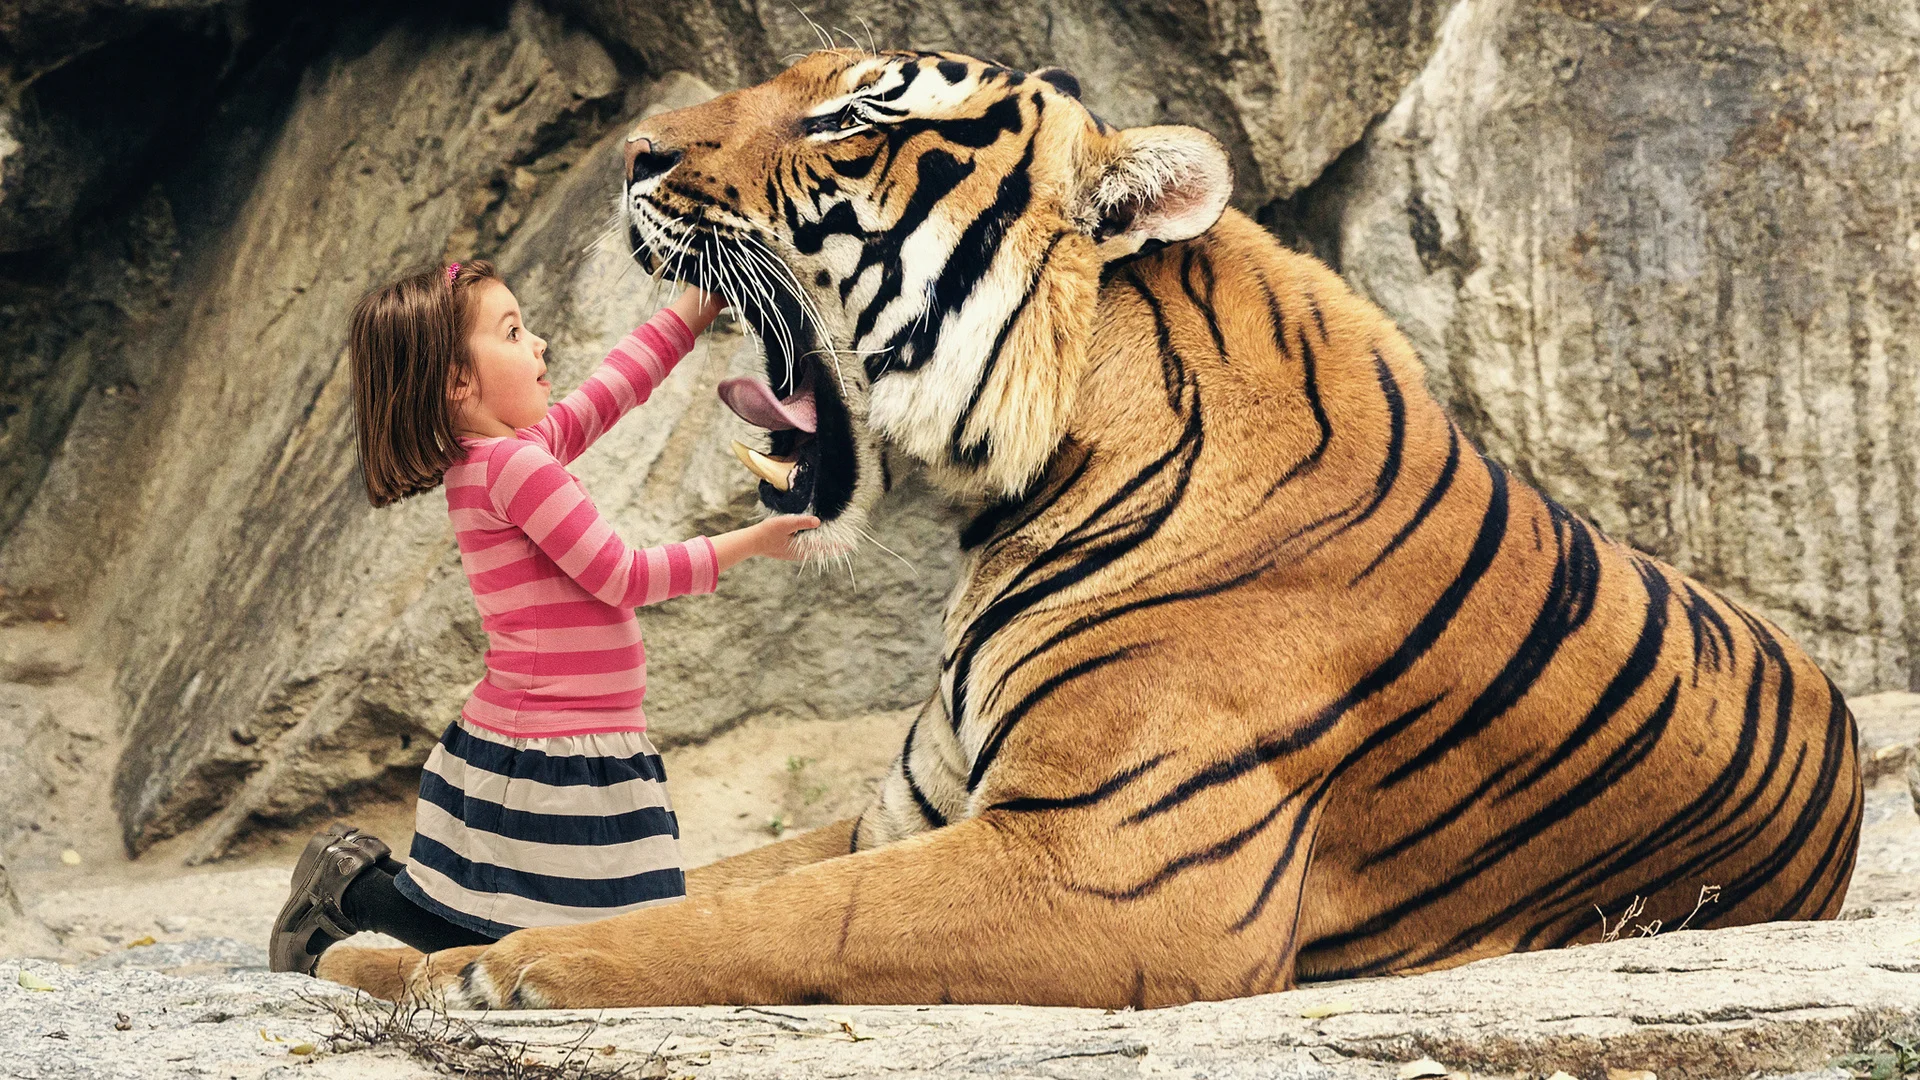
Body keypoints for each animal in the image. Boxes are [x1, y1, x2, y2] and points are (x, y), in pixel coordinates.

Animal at [318, 47, 1864, 1009]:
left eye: (850, 123)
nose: (635, 154)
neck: (1014, 494)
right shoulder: (909, 809)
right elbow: (699, 879)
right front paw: (377, 951)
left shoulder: (1108, 866)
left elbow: (746, 916)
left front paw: (469, 971)